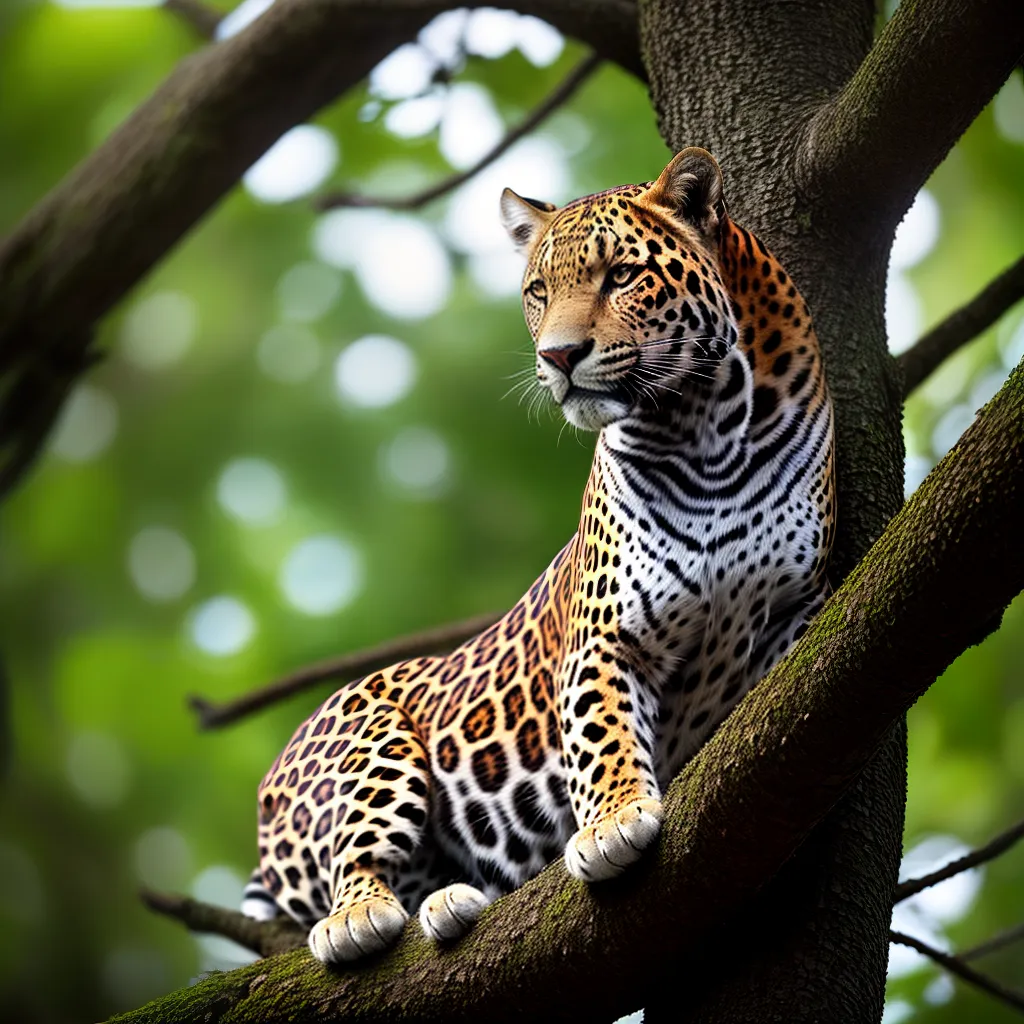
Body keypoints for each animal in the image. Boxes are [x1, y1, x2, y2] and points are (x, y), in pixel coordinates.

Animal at [241, 148, 835, 965]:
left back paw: (450, 905)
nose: (558, 355)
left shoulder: (793, 608)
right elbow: (602, 735)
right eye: (538, 292)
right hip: (366, 739)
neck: (705, 429)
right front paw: (613, 824)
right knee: (355, 861)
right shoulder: (605, 640)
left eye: (622, 275)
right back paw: (357, 916)